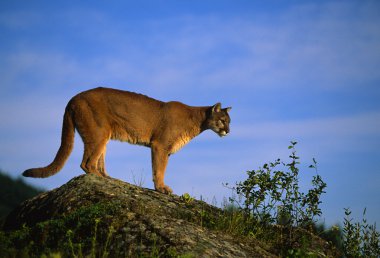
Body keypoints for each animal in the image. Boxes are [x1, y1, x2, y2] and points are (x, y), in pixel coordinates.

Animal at [24, 86, 232, 194]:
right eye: (223, 120)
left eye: (230, 121)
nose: (228, 131)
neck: (197, 120)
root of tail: (73, 98)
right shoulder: (160, 146)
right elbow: (159, 169)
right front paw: (161, 188)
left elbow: (159, 168)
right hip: (98, 133)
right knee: (86, 163)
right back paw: (102, 179)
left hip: (103, 136)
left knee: (96, 160)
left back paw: (108, 177)